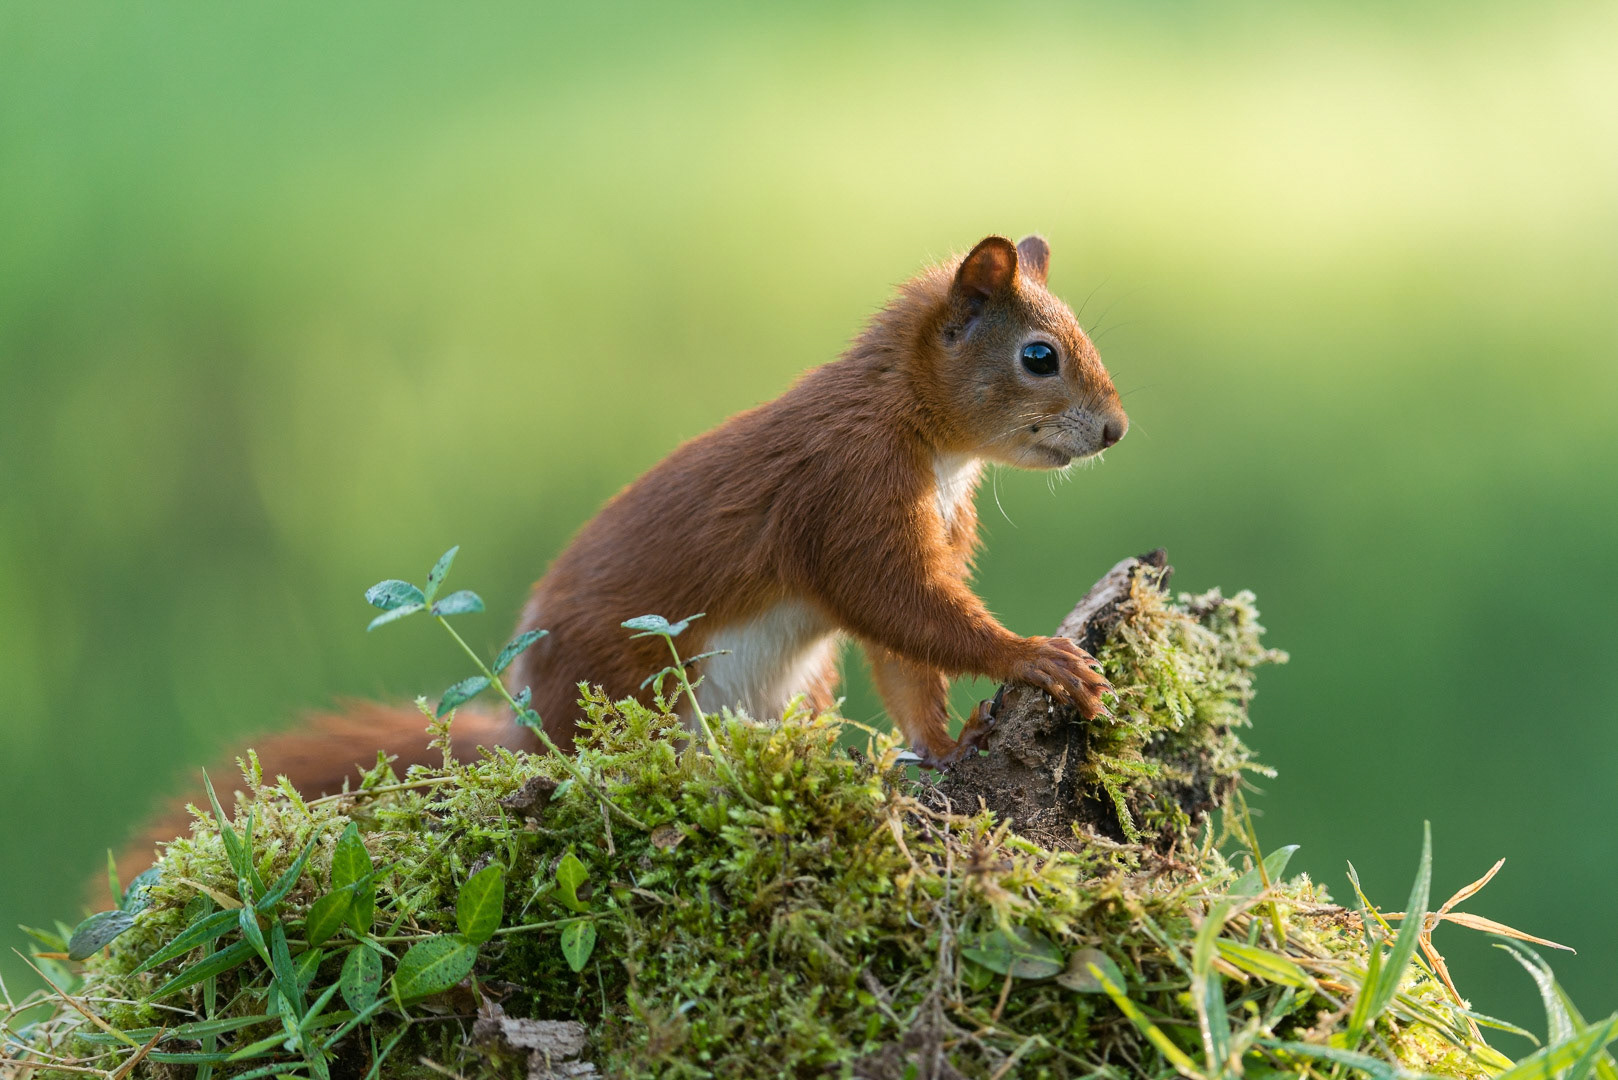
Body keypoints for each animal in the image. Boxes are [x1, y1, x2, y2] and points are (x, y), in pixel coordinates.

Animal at [117, 234, 1127, 882]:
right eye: (1040, 356)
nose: (1117, 430)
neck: (922, 435)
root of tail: (523, 728)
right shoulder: (849, 502)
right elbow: (903, 610)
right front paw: (1034, 657)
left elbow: (904, 658)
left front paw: (944, 747)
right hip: (629, 689)